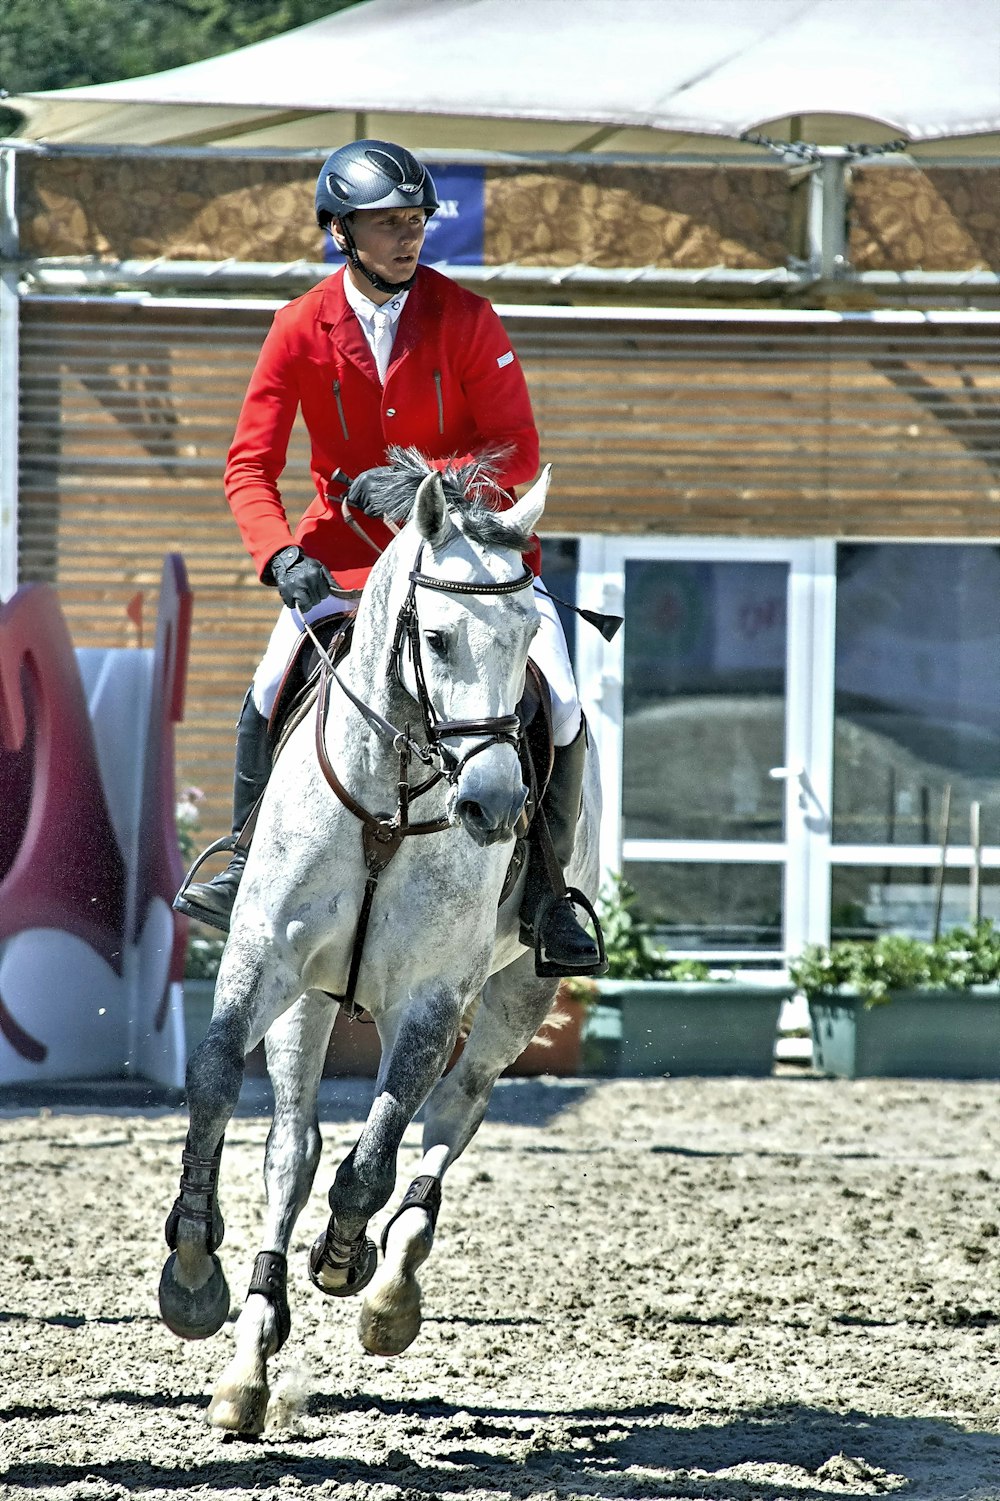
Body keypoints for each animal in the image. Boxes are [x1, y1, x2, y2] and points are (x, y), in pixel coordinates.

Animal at [157, 453, 600, 1428]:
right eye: (434, 638)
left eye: (526, 640)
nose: (495, 806)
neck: (389, 800)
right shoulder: (264, 960)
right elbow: (215, 1083)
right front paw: (194, 1270)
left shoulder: (432, 1000)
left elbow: (375, 1158)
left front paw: (345, 1256)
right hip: (309, 1004)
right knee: (293, 1149)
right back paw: (249, 1358)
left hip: (519, 994)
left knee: (453, 1112)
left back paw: (391, 1285)